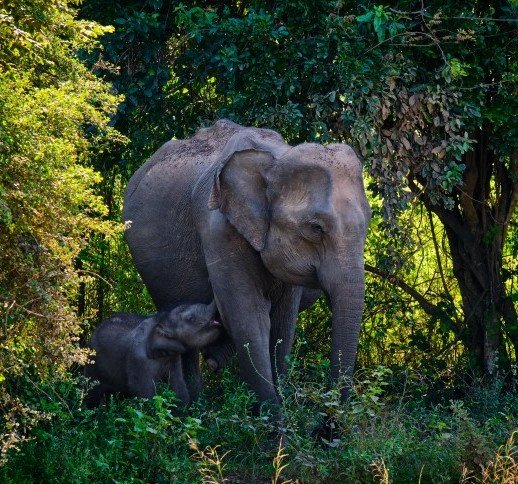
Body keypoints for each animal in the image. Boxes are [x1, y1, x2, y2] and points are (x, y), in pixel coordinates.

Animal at [85, 300, 221, 406]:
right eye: (190, 319)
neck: (160, 321)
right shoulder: (138, 360)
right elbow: (144, 391)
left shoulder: (173, 357)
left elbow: (178, 384)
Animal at [124, 119, 372, 406]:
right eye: (315, 228)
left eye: (368, 222)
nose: (333, 412)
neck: (275, 158)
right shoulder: (219, 230)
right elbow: (249, 318)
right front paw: (273, 415)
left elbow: (282, 323)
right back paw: (194, 405)